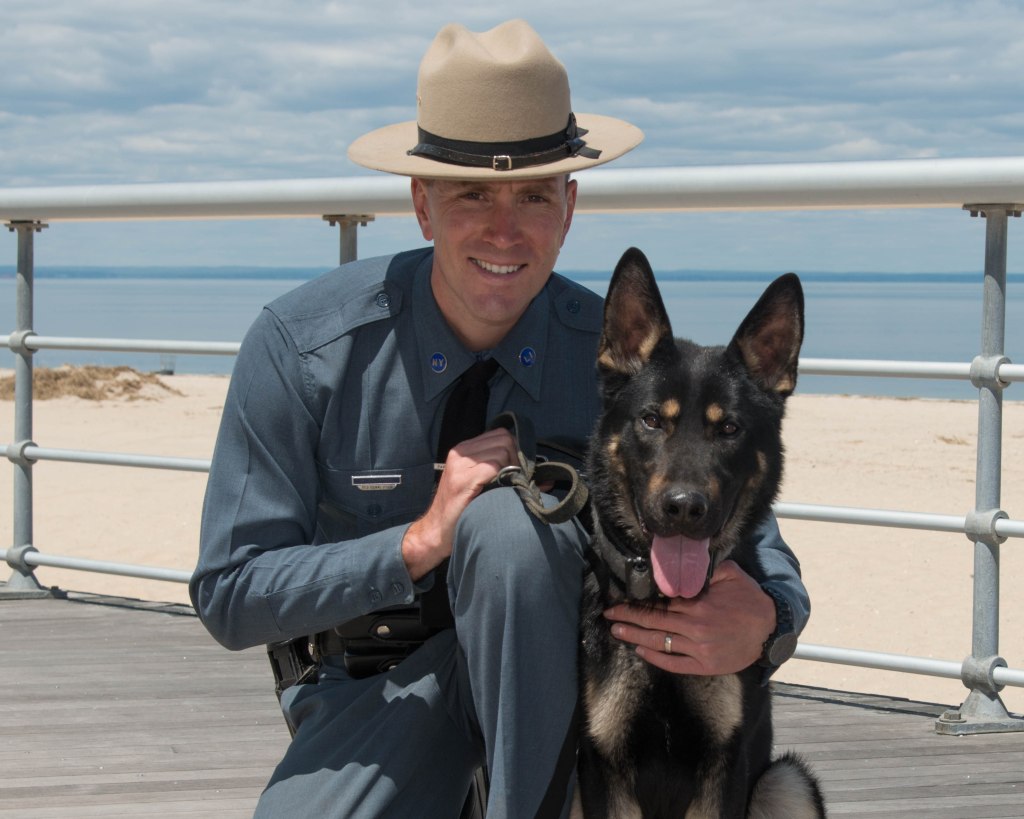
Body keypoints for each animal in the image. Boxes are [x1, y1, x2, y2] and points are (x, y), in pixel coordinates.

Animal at [575, 247, 825, 818]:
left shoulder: (725, 765)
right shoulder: (604, 766)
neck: (665, 604)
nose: (684, 509)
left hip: (787, 780)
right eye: (651, 420)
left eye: (729, 428)